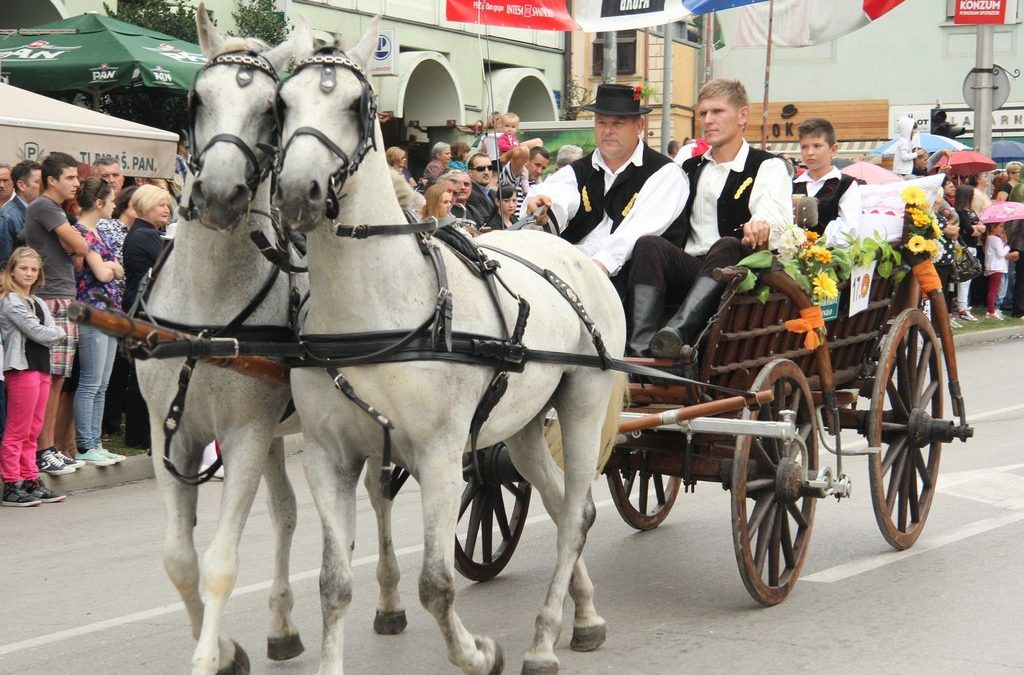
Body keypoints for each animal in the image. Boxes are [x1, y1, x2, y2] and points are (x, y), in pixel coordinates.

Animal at [136, 9, 311, 671]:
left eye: (271, 110)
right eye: (196, 98)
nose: (216, 193)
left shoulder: (244, 435)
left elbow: (218, 564)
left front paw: (211, 654)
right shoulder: (171, 432)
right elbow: (179, 559)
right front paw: (229, 649)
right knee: (286, 515)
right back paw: (283, 625)